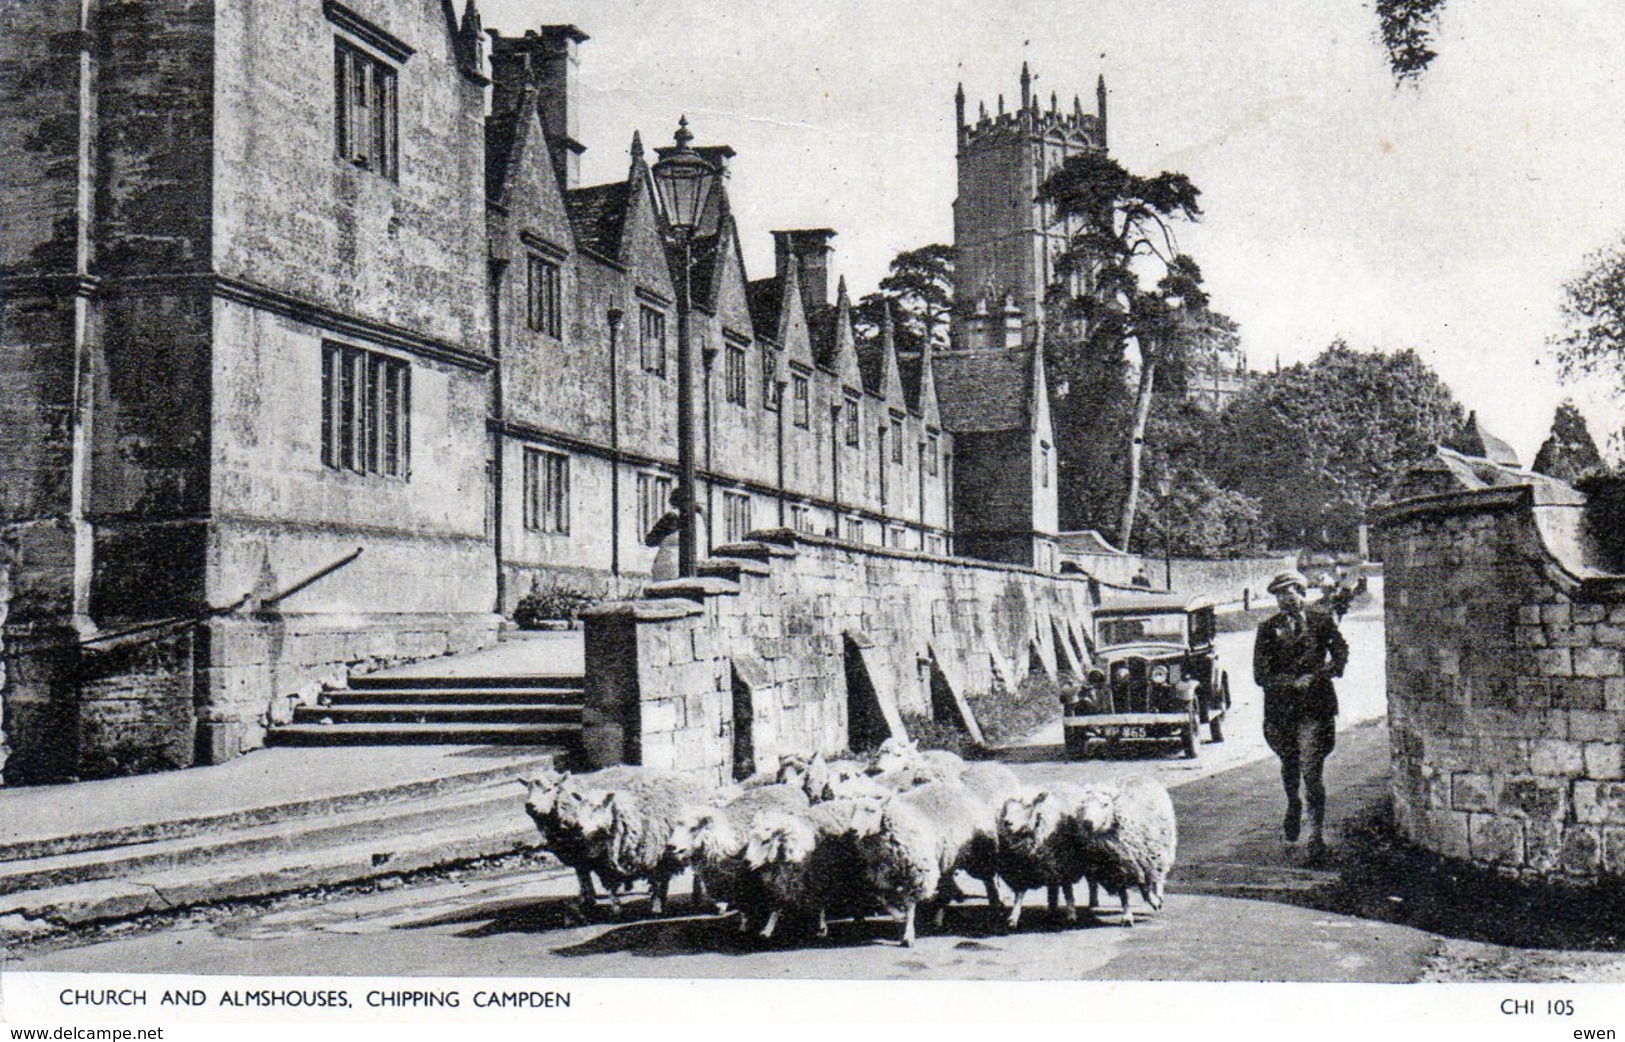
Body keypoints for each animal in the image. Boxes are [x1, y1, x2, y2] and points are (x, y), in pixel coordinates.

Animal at [520, 760, 698, 916]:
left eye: (549, 789)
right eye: (528, 789)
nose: (529, 806)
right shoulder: (579, 853)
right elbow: (582, 875)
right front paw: (587, 899)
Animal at [994, 780, 1098, 923]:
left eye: (1028, 805)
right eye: (1006, 807)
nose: (1007, 822)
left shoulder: (1065, 863)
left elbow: (1068, 890)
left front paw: (1071, 914)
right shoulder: (1023, 868)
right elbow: (1019, 894)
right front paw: (1014, 917)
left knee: (1091, 881)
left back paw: (1093, 903)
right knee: (1053, 885)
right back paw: (1052, 908)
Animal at [1072, 773, 1176, 923]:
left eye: (1105, 804)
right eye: (1083, 806)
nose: (1087, 823)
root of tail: (1137, 774)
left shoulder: (1140, 859)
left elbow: (1144, 886)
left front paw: (1154, 901)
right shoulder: (1118, 866)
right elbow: (1123, 894)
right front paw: (1127, 915)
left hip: (1160, 849)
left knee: (1158, 875)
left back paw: (1159, 895)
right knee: (1092, 882)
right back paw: (1093, 902)